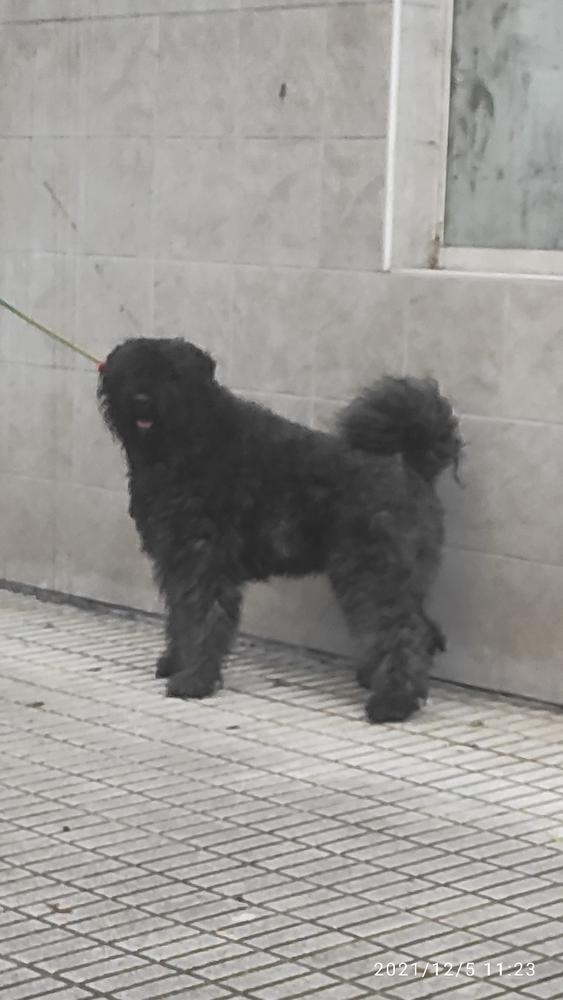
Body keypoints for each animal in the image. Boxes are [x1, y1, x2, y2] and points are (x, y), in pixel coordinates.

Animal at [99, 340, 462, 724]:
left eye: (173, 373)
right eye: (132, 369)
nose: (142, 399)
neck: (189, 443)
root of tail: (412, 466)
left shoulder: (203, 559)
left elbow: (203, 619)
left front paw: (194, 680)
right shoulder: (175, 559)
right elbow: (182, 617)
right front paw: (176, 663)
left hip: (371, 572)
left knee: (400, 630)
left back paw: (393, 702)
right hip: (398, 574)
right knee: (421, 628)